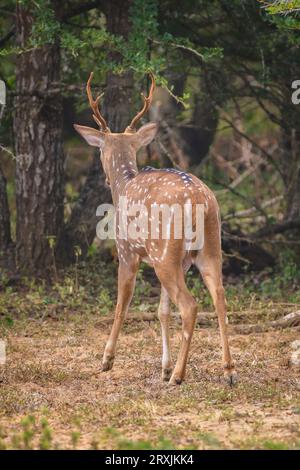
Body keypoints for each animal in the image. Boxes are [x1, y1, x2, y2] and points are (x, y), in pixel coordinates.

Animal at [73, 70, 237, 386]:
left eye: (100, 150)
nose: (105, 177)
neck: (124, 185)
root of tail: (199, 200)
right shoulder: (178, 262)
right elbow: (162, 311)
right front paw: (163, 366)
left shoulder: (127, 252)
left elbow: (121, 305)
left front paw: (107, 360)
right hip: (206, 248)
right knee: (219, 297)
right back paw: (228, 371)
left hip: (164, 252)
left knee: (189, 305)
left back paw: (179, 376)